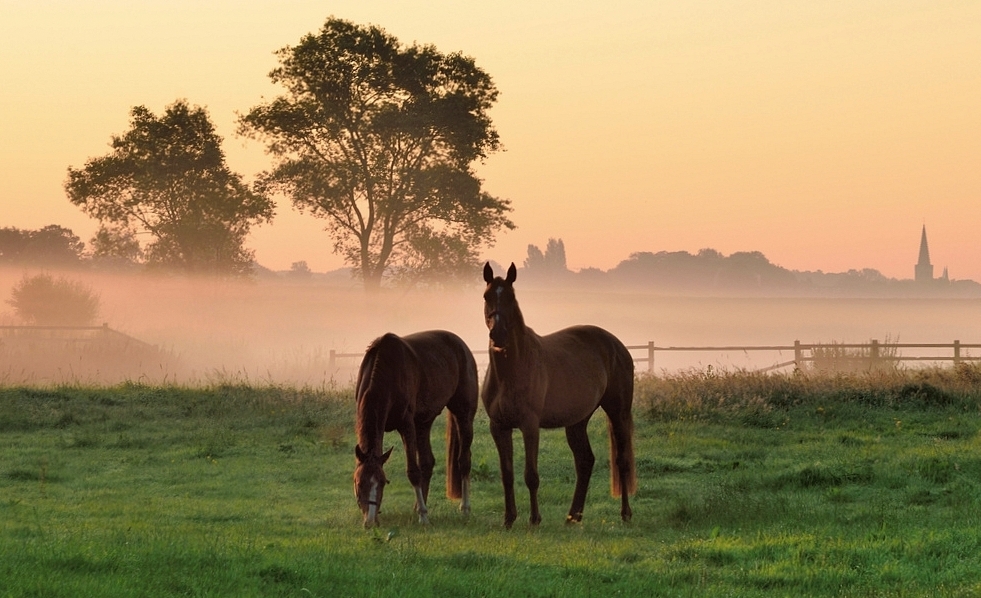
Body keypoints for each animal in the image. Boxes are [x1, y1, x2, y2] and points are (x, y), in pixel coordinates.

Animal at [352, 332, 478, 528]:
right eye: (359, 483)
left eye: (382, 483)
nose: (370, 521)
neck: (387, 371)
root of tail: (461, 346)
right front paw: (421, 510)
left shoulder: (406, 425)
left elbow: (413, 471)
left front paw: (423, 516)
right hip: (423, 423)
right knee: (428, 463)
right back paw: (419, 506)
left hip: (463, 414)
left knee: (464, 461)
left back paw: (464, 508)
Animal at [480, 262, 636, 528]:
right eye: (486, 296)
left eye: (511, 297)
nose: (498, 335)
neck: (511, 370)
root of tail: (617, 346)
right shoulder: (498, 426)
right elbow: (507, 475)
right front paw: (509, 519)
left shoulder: (530, 426)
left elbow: (531, 475)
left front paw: (534, 519)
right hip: (577, 422)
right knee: (585, 461)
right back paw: (573, 516)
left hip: (619, 413)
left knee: (622, 461)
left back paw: (625, 513)